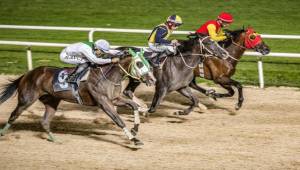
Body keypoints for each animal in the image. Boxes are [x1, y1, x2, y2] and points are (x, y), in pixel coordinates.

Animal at [0, 49, 155, 146]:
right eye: (139, 63)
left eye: (148, 63)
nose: (152, 80)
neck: (109, 76)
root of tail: (28, 74)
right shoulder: (104, 103)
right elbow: (119, 120)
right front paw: (134, 140)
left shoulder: (115, 99)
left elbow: (134, 106)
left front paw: (135, 129)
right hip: (26, 99)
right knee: (14, 115)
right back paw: (2, 133)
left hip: (52, 101)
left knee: (44, 121)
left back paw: (55, 139)